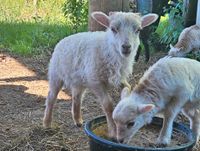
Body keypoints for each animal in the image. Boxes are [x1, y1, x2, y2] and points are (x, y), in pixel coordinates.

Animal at [43, 10, 159, 138]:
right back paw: (47, 123)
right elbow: (108, 105)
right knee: (51, 97)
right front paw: (113, 131)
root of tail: (63, 40)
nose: (126, 47)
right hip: (56, 74)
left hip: (79, 80)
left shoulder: (119, 78)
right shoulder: (96, 81)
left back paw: (77, 120)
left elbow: (128, 87)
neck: (109, 50)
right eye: (113, 29)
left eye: (138, 30)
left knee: (77, 97)